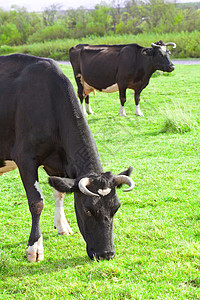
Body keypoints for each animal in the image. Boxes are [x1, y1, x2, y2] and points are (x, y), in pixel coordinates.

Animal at [0, 54, 134, 262]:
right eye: (87, 209)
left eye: (116, 208)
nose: (106, 254)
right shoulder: (25, 158)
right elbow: (36, 202)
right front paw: (35, 248)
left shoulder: (56, 163)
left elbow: (59, 192)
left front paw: (62, 226)